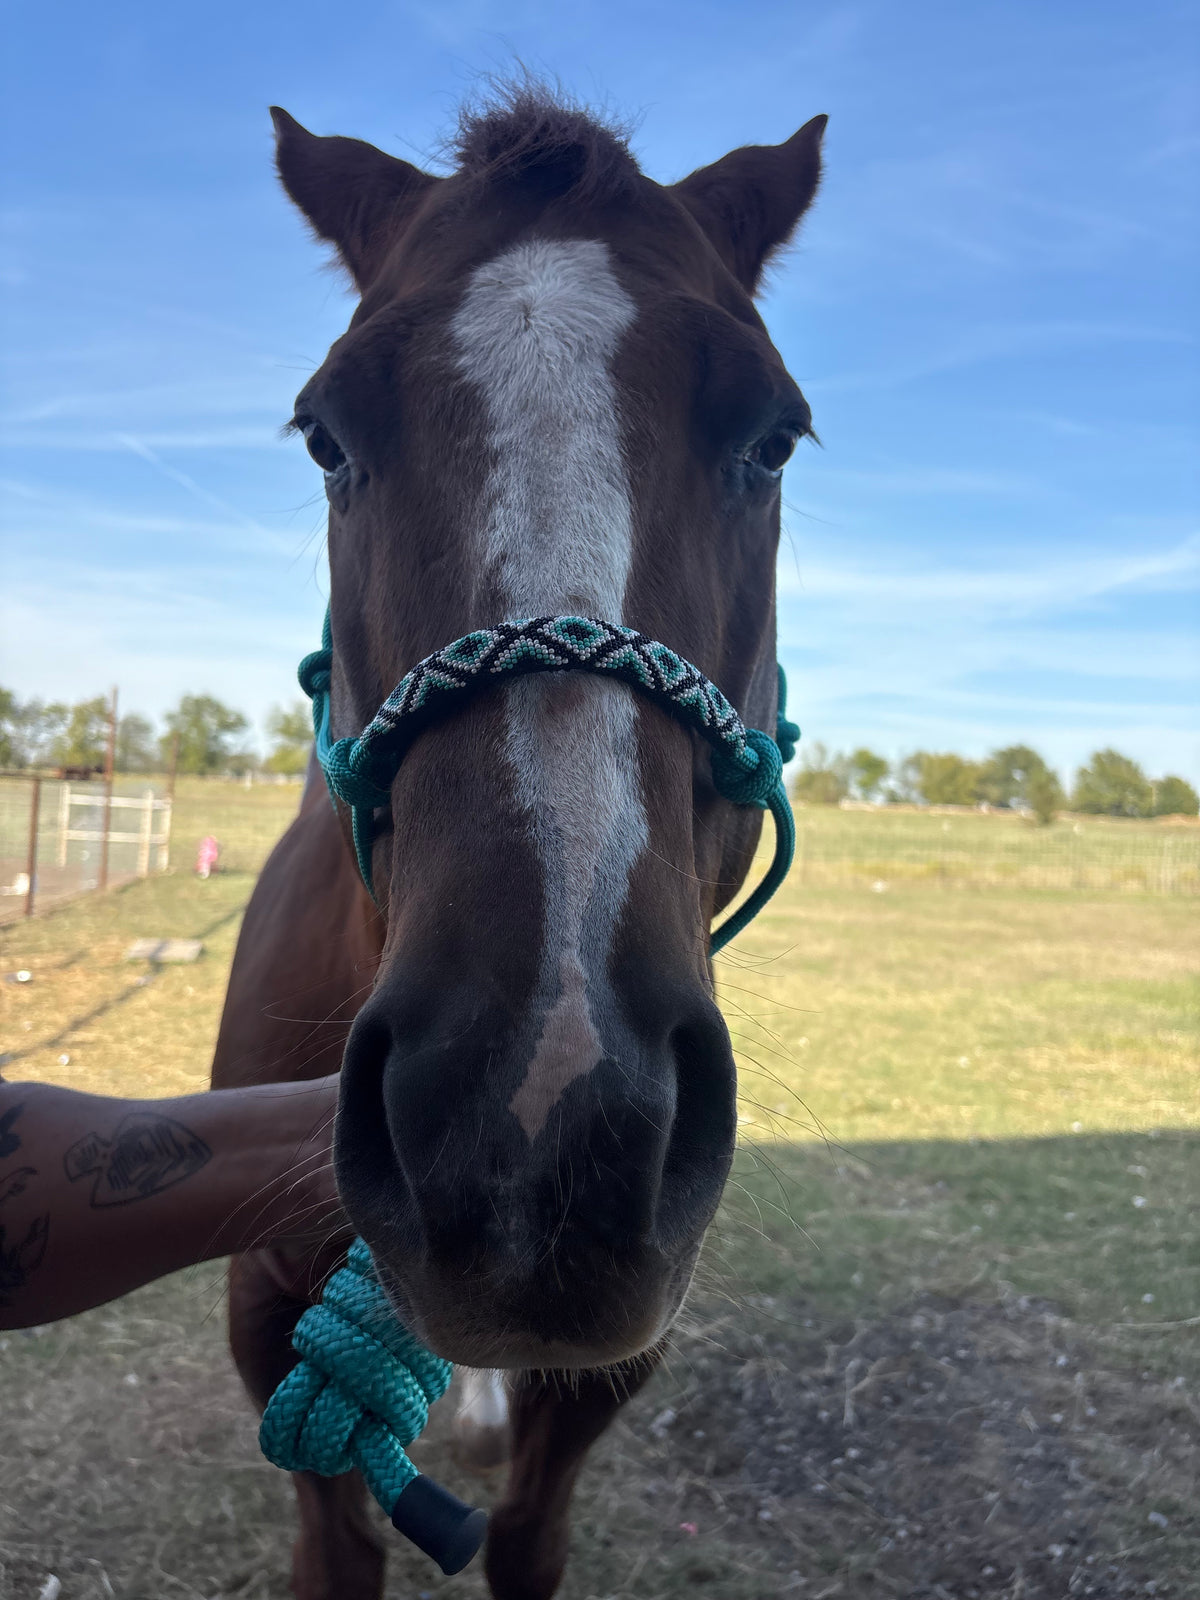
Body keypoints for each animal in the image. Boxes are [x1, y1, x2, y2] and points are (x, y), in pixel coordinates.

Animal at [211, 85, 825, 1600]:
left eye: (773, 437)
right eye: (325, 437)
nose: (542, 1116)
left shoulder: (598, 1390)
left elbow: (530, 1544)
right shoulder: (269, 1341)